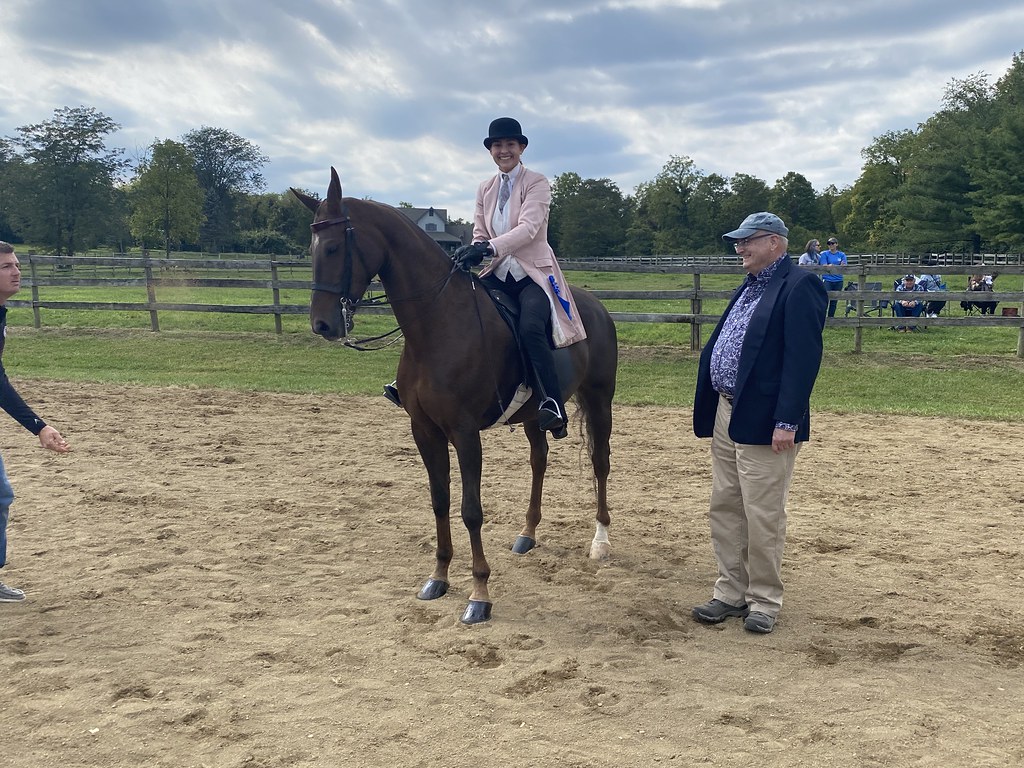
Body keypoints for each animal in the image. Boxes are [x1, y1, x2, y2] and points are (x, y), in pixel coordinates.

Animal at [291, 168, 618, 624]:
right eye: (312, 248)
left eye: (336, 246)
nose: (322, 325)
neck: (438, 325)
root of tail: (597, 307)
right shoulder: (424, 431)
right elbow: (439, 501)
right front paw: (438, 577)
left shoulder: (465, 433)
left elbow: (471, 510)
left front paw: (479, 594)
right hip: (534, 416)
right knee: (539, 462)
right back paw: (527, 533)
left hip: (600, 401)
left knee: (600, 463)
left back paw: (600, 541)